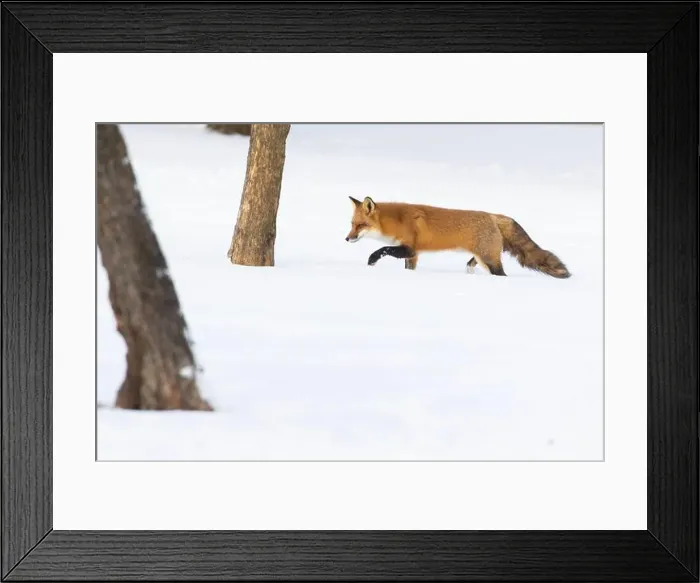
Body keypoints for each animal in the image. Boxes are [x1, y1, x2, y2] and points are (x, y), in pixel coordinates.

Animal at [345, 196, 571, 278]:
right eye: (352, 224)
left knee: (501, 275)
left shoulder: (409, 248)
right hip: (484, 257)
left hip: (490, 261)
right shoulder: (413, 255)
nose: (347, 239)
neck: (396, 221)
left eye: (361, 225)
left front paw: (371, 262)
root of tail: (493, 215)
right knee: (474, 263)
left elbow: (381, 250)